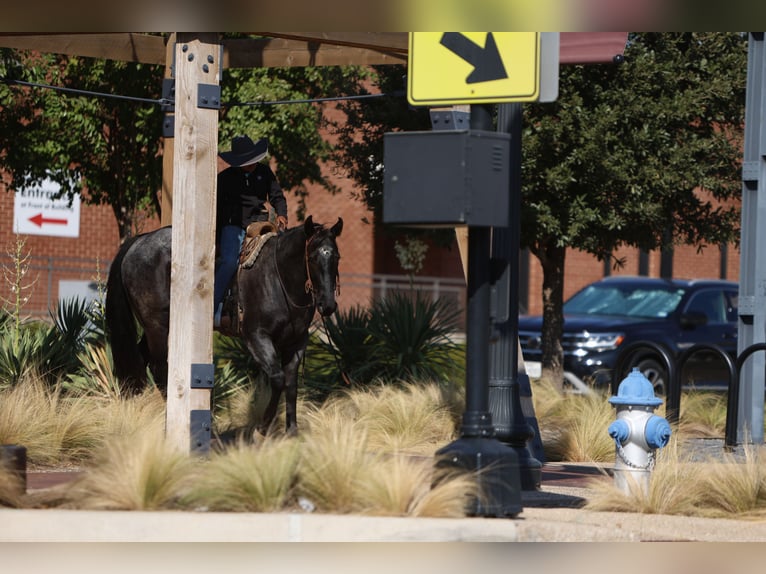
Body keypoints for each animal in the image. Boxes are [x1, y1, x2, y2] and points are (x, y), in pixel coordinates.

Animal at [103, 216, 344, 436]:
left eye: (336, 257)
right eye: (312, 257)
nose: (327, 305)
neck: (278, 278)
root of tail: (139, 240)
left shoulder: (297, 341)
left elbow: (291, 384)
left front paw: (292, 431)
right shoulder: (256, 337)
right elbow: (277, 379)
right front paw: (262, 428)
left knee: (138, 362)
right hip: (156, 325)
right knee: (158, 367)